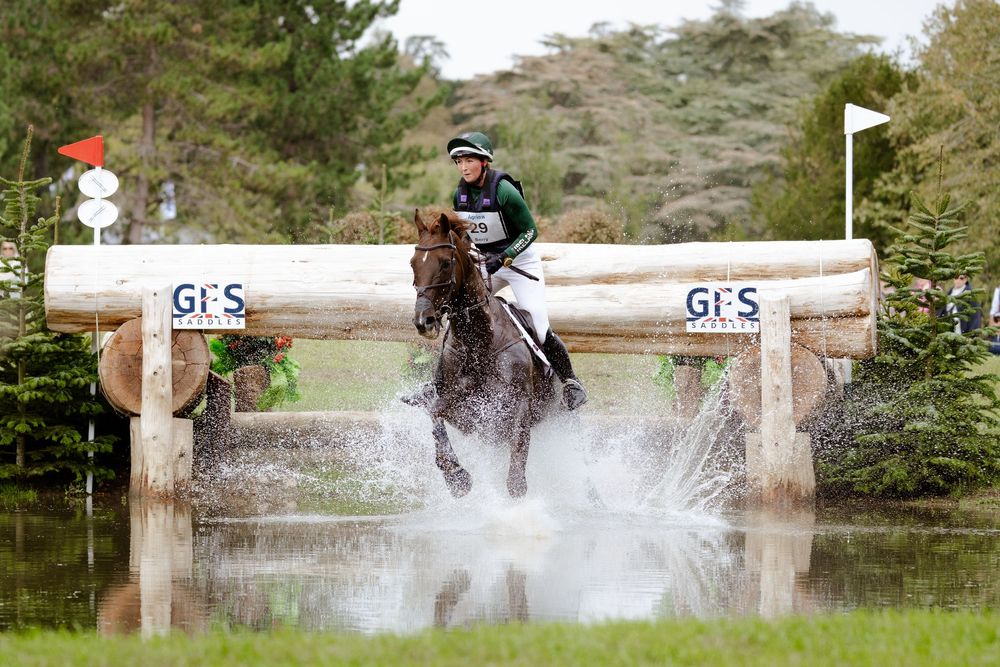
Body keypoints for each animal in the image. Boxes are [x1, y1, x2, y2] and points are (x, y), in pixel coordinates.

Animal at [409, 210, 560, 498]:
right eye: (413, 264)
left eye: (445, 263)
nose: (424, 321)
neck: (479, 344)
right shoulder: (459, 407)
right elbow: (435, 417)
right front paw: (456, 477)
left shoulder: (518, 403)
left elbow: (518, 449)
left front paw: (516, 488)